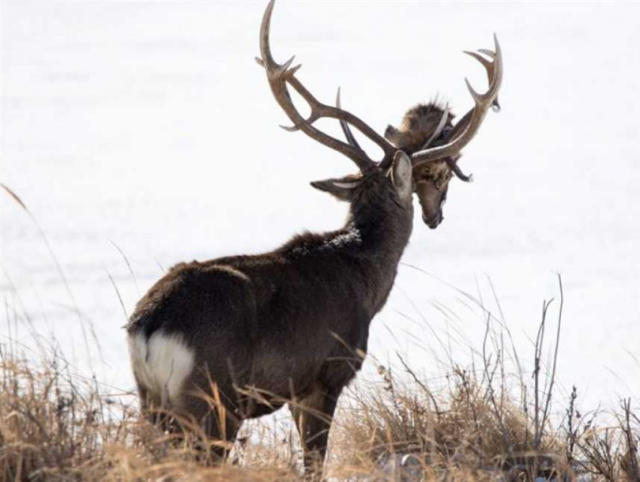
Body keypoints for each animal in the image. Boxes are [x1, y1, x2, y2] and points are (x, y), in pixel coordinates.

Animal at [125, 0, 502, 474]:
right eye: (434, 177)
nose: (437, 216)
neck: (365, 277)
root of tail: (149, 327)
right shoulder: (325, 375)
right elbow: (315, 462)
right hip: (212, 398)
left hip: (152, 400)